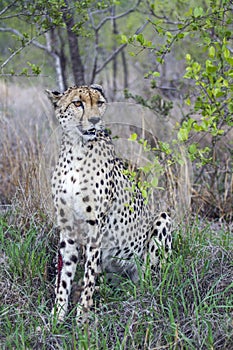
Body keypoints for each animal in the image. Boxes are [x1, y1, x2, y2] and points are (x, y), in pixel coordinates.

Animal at [46, 84, 173, 322]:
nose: (95, 120)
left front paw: (81, 320)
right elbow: (64, 277)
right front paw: (56, 318)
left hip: (162, 222)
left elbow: (88, 276)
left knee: (149, 281)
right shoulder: (68, 227)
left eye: (100, 103)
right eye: (78, 103)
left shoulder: (96, 227)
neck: (77, 149)